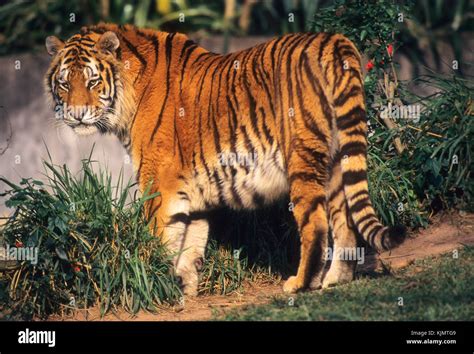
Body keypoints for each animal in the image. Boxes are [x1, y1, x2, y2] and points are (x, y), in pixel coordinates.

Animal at [44, 22, 406, 296]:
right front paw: (182, 288)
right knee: (344, 220)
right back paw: (335, 280)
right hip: (335, 160)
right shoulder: (190, 192)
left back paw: (301, 283)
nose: (76, 114)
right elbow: (189, 244)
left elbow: (158, 239)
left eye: (92, 81)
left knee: (315, 223)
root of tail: (332, 40)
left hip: (302, 158)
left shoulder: (157, 184)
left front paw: (154, 284)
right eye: (64, 83)